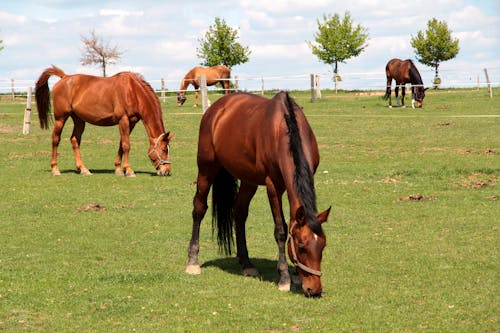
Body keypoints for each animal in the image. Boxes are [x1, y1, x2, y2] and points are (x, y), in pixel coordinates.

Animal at [35, 64, 174, 176]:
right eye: (163, 149)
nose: (166, 171)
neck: (133, 91)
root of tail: (64, 77)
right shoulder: (123, 120)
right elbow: (126, 145)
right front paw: (128, 170)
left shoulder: (131, 122)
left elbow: (121, 143)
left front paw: (118, 169)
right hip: (61, 118)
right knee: (55, 139)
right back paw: (55, 169)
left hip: (79, 120)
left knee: (74, 140)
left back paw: (83, 169)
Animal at [186, 90, 330, 296]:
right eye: (301, 246)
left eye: (323, 245)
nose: (314, 289)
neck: (284, 130)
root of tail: (215, 109)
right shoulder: (273, 186)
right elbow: (281, 230)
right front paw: (284, 278)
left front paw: (295, 275)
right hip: (206, 168)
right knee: (199, 208)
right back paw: (193, 261)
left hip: (249, 180)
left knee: (239, 212)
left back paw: (246, 264)